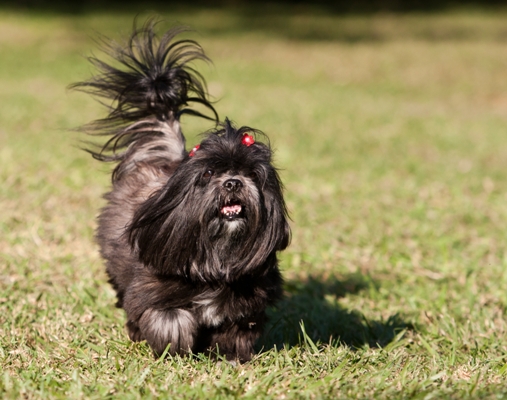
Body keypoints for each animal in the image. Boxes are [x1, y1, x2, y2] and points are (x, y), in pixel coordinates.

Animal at [73, 19, 292, 362]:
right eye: (209, 173)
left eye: (251, 175)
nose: (233, 182)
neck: (215, 260)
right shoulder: (152, 288)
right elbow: (169, 317)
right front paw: (175, 345)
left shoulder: (245, 304)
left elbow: (235, 330)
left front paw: (230, 357)